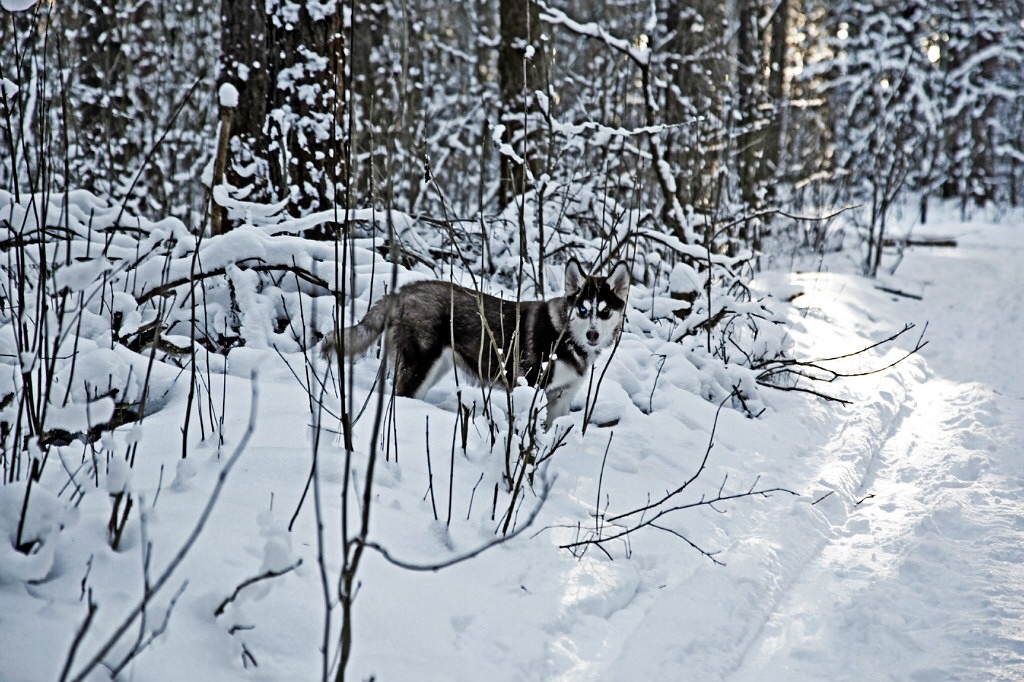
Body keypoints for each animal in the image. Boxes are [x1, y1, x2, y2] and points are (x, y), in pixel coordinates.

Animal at [321, 259, 630, 421]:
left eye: (604, 311)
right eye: (583, 310)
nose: (592, 335)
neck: (564, 336)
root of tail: (403, 291)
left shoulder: (562, 398)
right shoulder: (531, 387)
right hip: (419, 368)